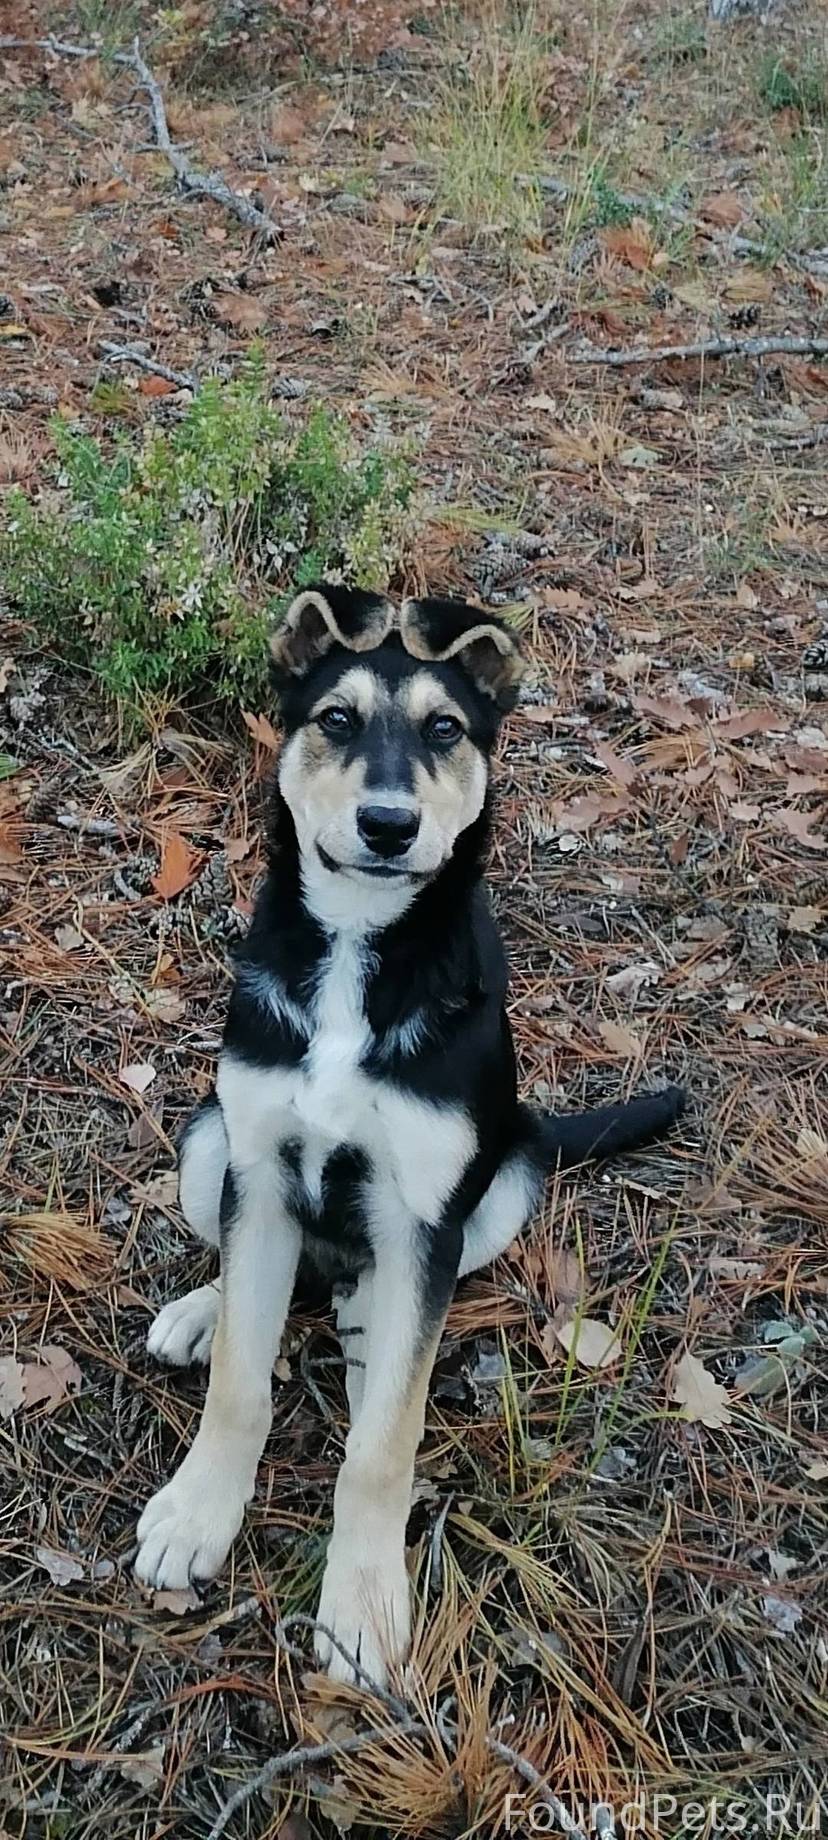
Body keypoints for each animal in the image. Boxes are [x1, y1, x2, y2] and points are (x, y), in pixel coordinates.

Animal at [135, 583, 684, 1685]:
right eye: (337, 719)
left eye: (444, 731)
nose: (387, 826)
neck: (360, 942)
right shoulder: (260, 1166)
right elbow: (240, 1384)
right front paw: (199, 1509)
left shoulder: (429, 1208)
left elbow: (383, 1445)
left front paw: (361, 1604)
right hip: (207, 1141)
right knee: (261, 1270)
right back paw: (206, 1309)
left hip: (504, 1181)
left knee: (373, 1293)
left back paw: (360, 1311)